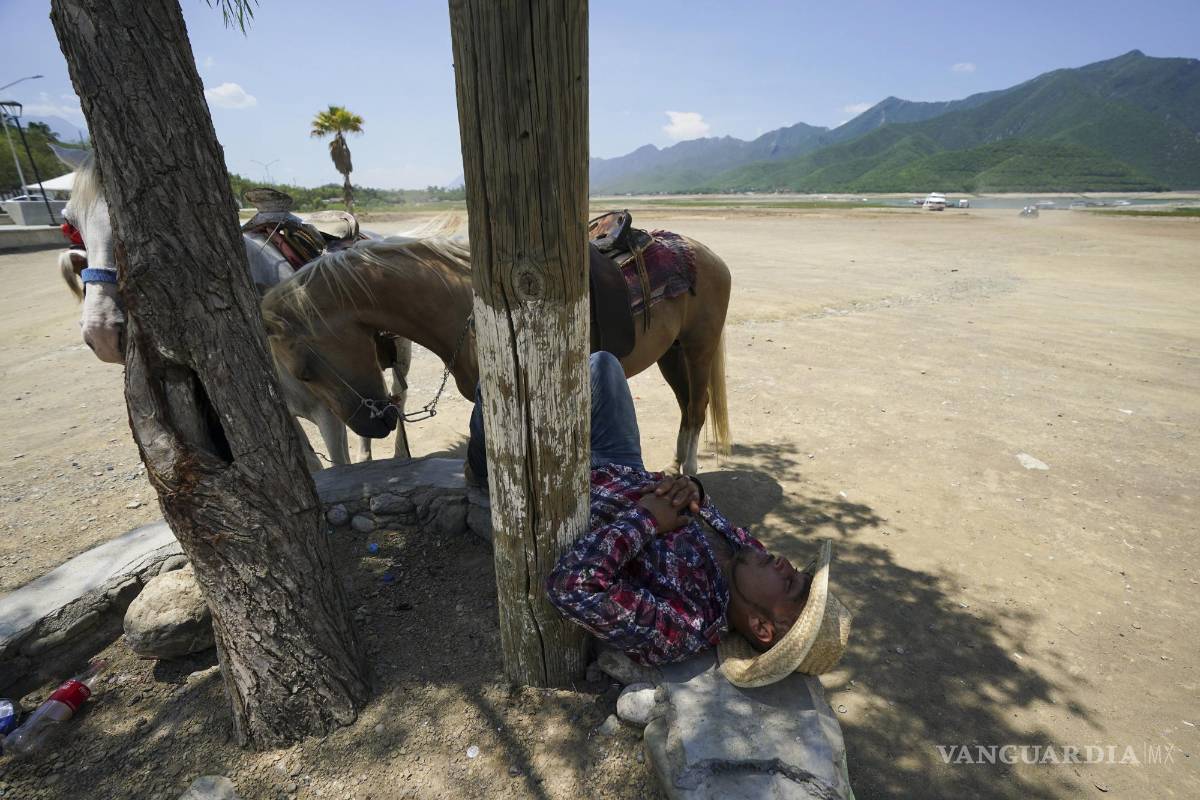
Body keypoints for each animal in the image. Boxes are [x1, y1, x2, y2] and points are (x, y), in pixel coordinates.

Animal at [260, 233, 732, 475]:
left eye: (303, 370)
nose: (373, 425)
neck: (462, 301)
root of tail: (708, 254)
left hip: (698, 346)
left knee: (698, 407)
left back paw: (690, 471)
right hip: (671, 354)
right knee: (689, 407)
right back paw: (676, 464)